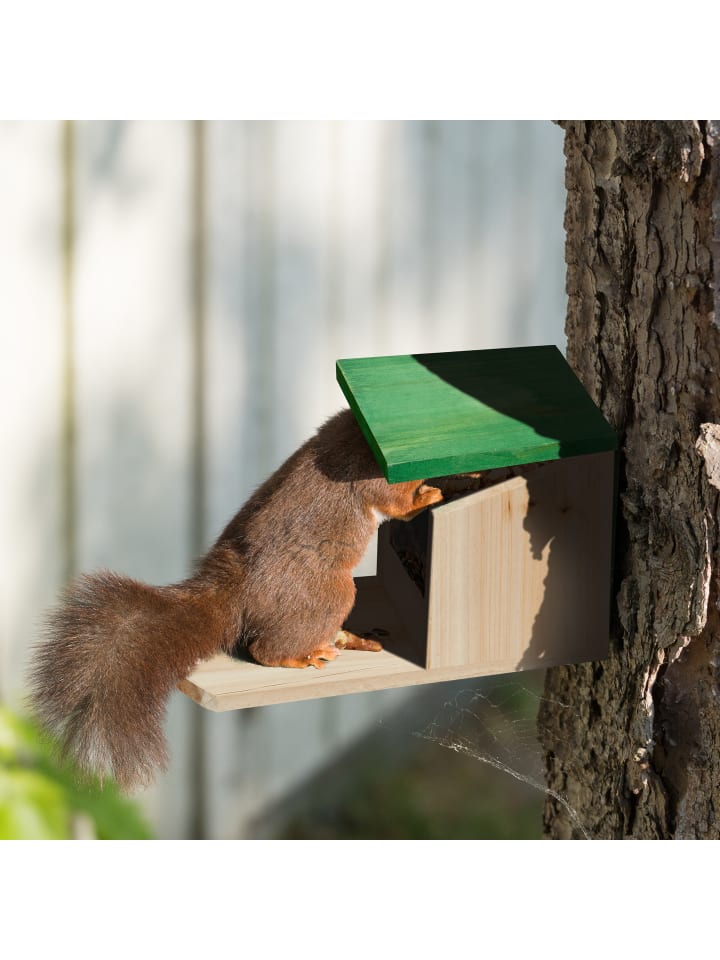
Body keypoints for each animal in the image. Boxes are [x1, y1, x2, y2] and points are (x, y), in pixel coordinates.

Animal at [28, 409, 443, 792]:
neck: (361, 433)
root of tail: (238, 595)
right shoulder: (369, 475)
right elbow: (397, 502)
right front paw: (431, 492)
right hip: (330, 593)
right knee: (265, 649)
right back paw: (302, 655)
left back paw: (346, 638)